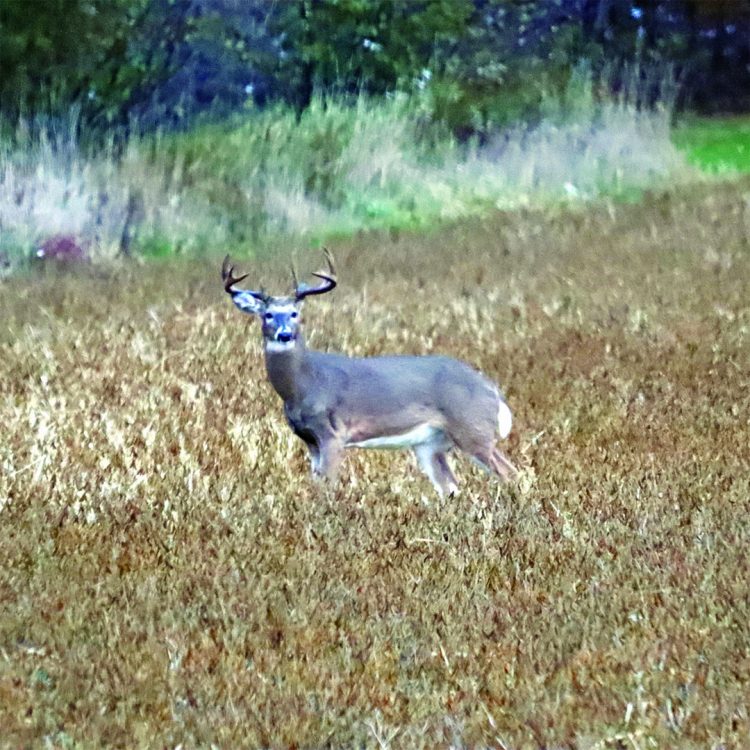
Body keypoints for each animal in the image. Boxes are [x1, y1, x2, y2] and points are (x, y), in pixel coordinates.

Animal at [223, 253, 516, 500]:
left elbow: (327, 486)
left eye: (295, 314)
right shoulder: (309, 440)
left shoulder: (333, 434)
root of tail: (492, 389)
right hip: (429, 444)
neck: (305, 385)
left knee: (509, 472)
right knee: (451, 488)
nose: (284, 334)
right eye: (268, 314)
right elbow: (315, 484)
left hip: (473, 428)